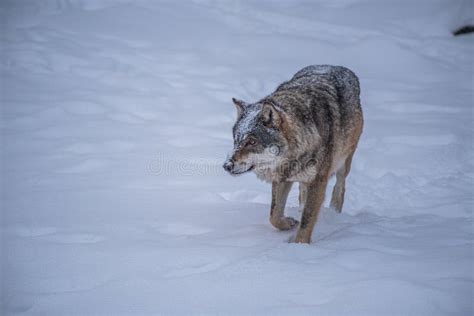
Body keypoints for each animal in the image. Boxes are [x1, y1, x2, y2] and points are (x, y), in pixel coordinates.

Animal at [224, 63, 364, 242]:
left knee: (340, 187)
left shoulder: (318, 181)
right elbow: (274, 215)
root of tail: (335, 66)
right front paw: (288, 224)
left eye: (252, 142)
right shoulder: (282, 177)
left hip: (343, 162)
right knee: (302, 195)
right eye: (237, 139)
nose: (227, 166)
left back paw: (334, 213)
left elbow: (307, 220)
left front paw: (298, 245)